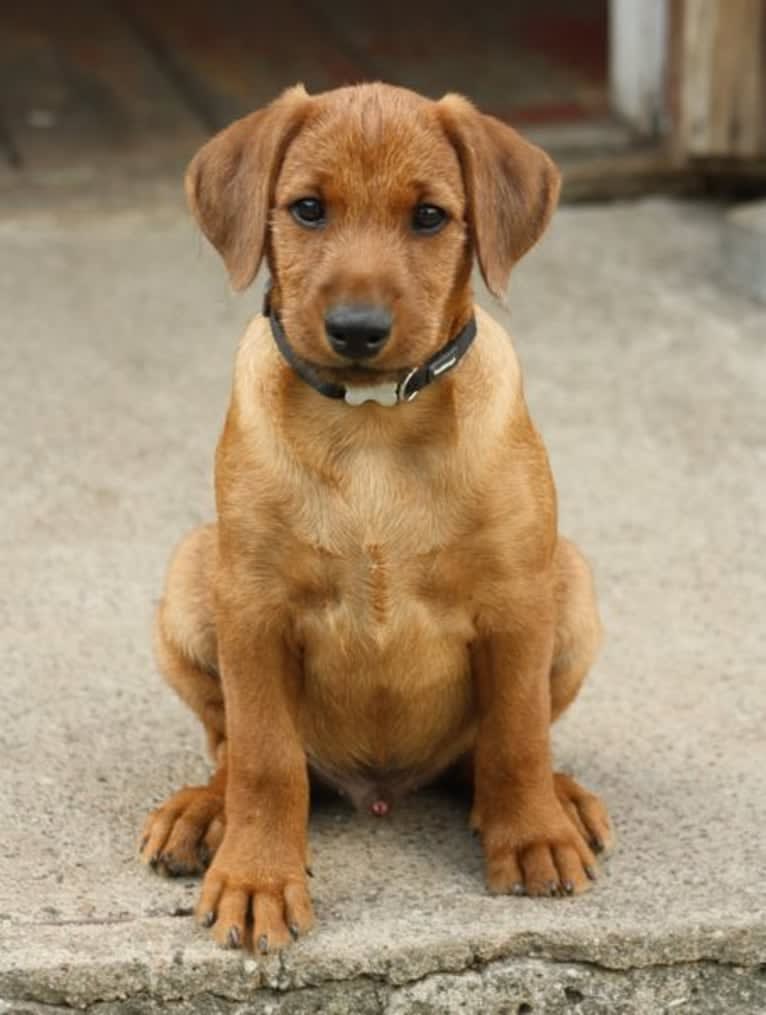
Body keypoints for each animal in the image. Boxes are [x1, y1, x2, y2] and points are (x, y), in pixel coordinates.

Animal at [141, 83, 612, 954]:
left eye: (428, 217)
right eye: (308, 208)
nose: (357, 330)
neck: (371, 430)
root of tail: (382, 789)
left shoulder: (517, 602)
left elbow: (518, 734)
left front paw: (533, 832)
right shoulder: (252, 607)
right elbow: (264, 758)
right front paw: (257, 876)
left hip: (572, 583)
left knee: (488, 750)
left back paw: (560, 798)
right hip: (191, 576)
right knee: (234, 748)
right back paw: (205, 810)